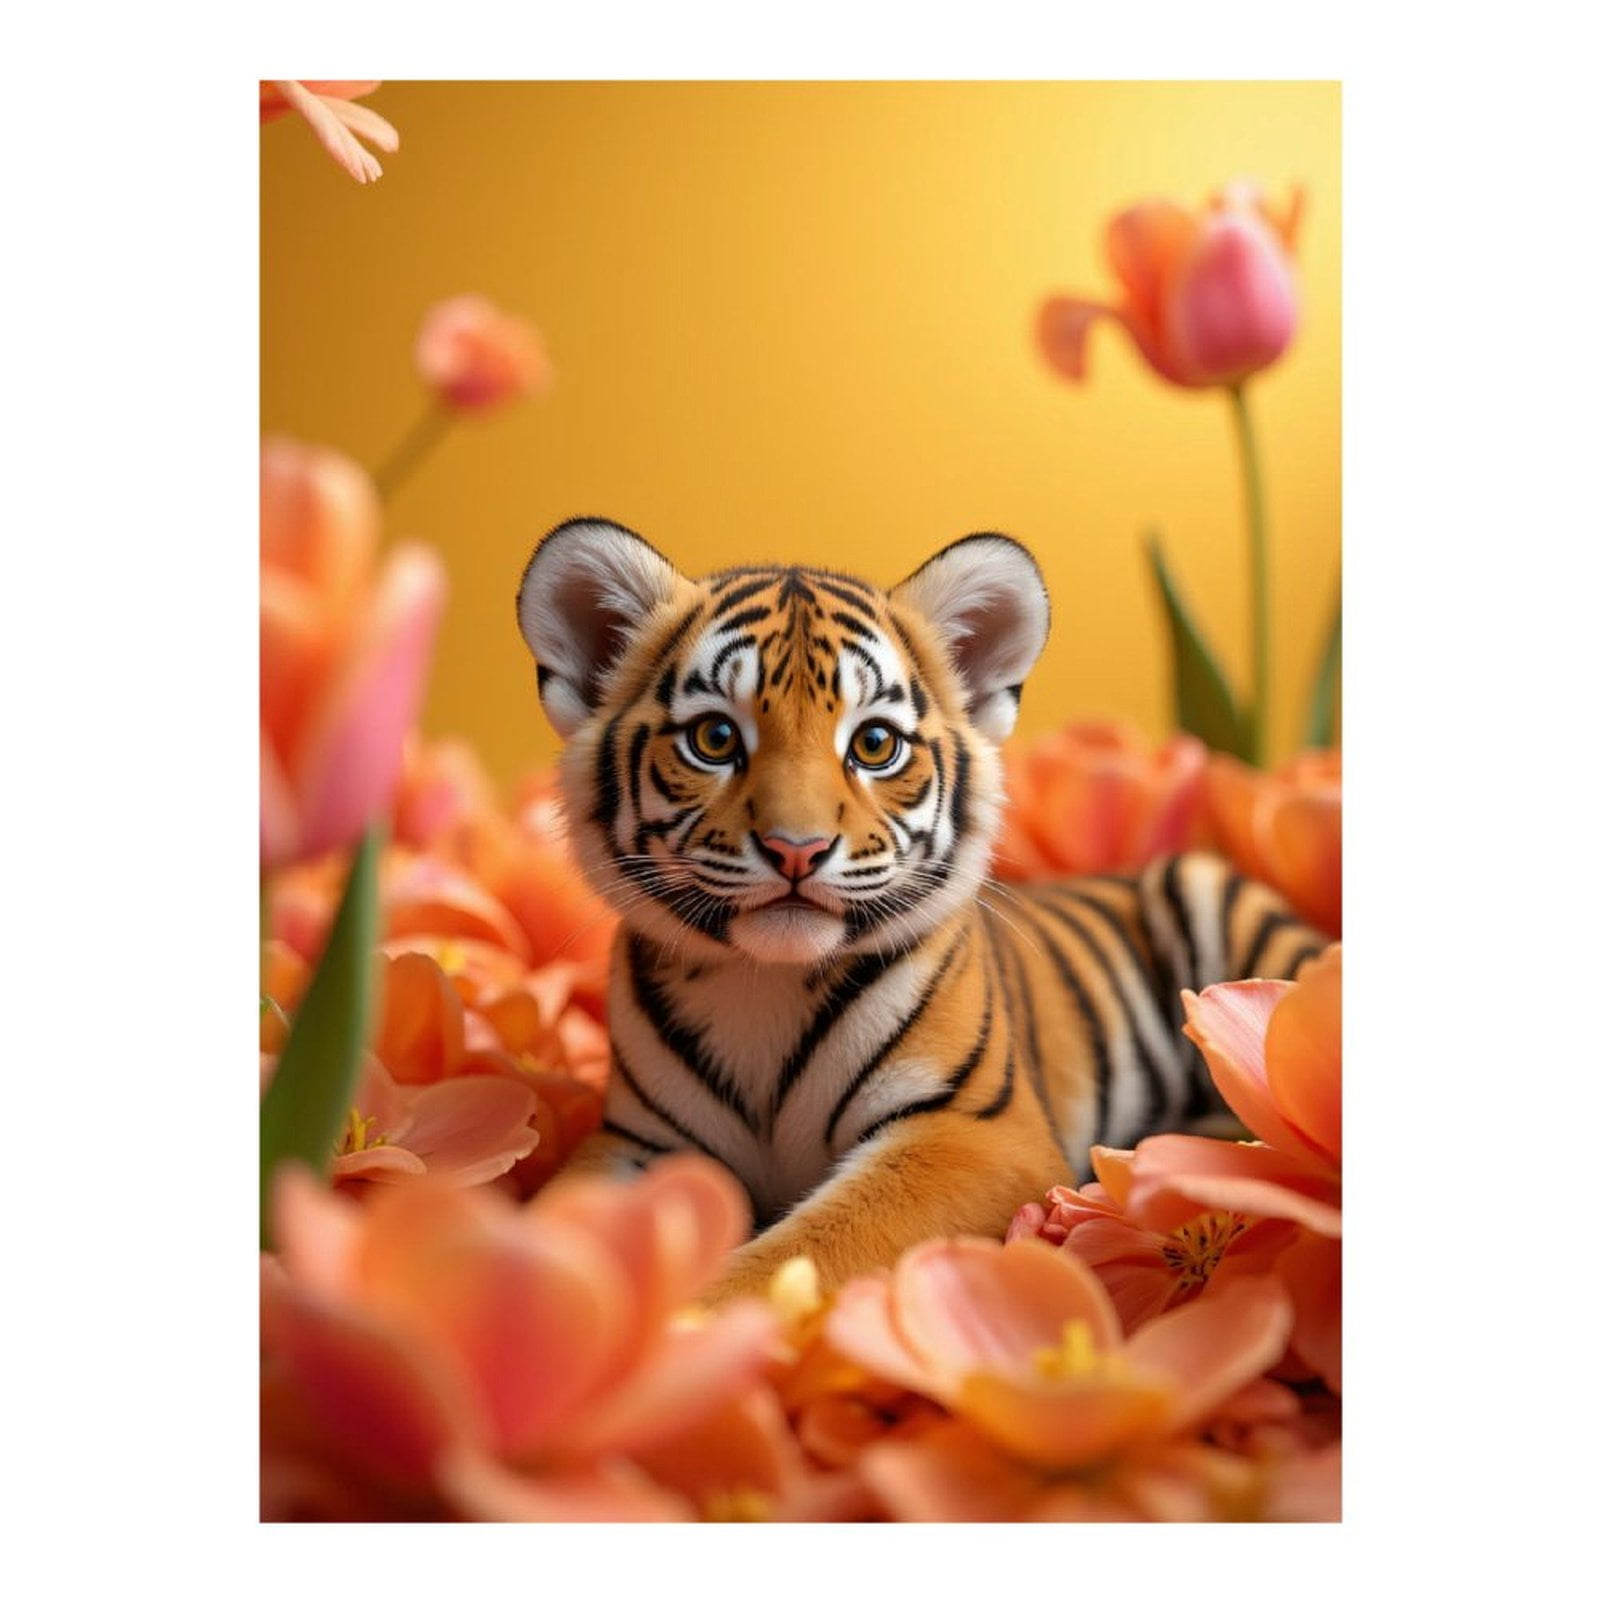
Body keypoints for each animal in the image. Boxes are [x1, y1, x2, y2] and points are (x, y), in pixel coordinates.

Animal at [516, 517, 1328, 1303]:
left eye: (875, 744)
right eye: (715, 738)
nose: (796, 849)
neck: (764, 987)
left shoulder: (973, 1136)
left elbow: (800, 1251)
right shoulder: (640, 1141)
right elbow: (551, 1222)